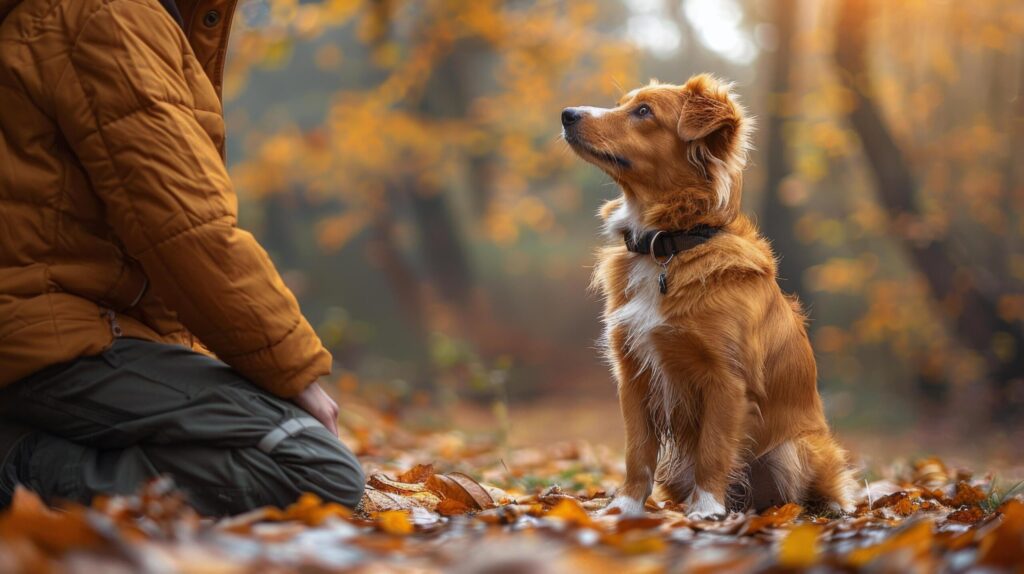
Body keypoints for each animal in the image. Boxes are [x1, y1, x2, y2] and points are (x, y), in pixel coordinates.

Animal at [561, 73, 856, 517]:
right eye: (621, 104)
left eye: (643, 111)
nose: (567, 114)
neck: (670, 244)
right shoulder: (634, 374)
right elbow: (637, 452)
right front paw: (625, 508)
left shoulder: (727, 378)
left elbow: (714, 450)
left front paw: (705, 510)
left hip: (796, 447)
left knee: (819, 491)